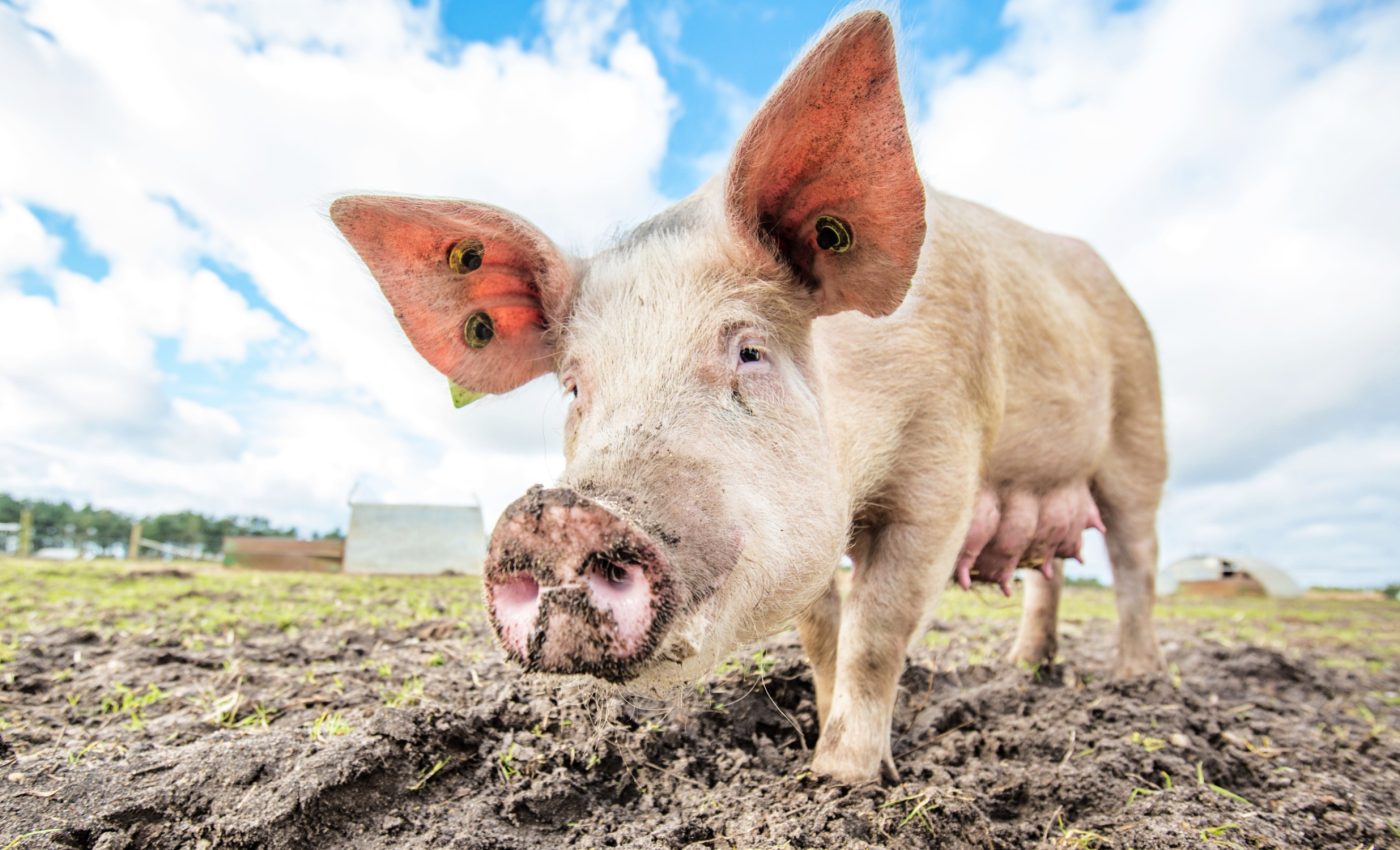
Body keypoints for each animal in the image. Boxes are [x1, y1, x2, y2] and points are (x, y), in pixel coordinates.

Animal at [330, 10, 1166, 784]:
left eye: (749, 350)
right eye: (573, 384)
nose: (554, 516)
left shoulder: (943, 455)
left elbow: (878, 627)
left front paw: (839, 780)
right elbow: (823, 631)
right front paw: (816, 738)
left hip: (1141, 436)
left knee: (1135, 562)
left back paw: (1134, 684)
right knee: (1049, 572)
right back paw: (1028, 671)